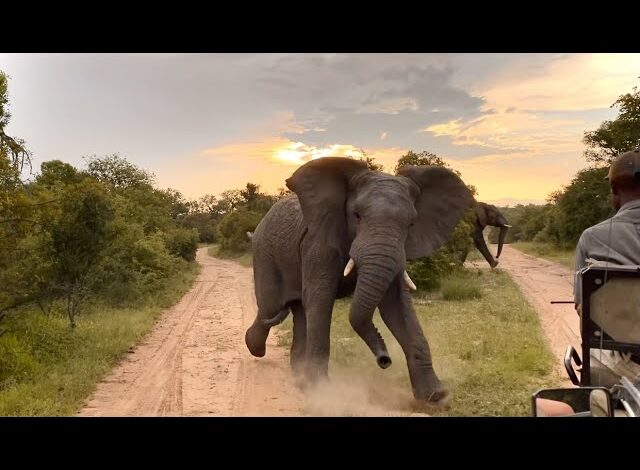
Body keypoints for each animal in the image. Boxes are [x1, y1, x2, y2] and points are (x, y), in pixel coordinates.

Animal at [242, 156, 472, 406]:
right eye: (357, 215)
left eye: (411, 224)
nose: (385, 360)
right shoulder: (318, 245)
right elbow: (320, 300)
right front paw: (321, 391)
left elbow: (397, 308)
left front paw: (435, 396)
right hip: (264, 252)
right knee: (271, 306)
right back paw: (255, 348)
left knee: (298, 311)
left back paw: (297, 375)